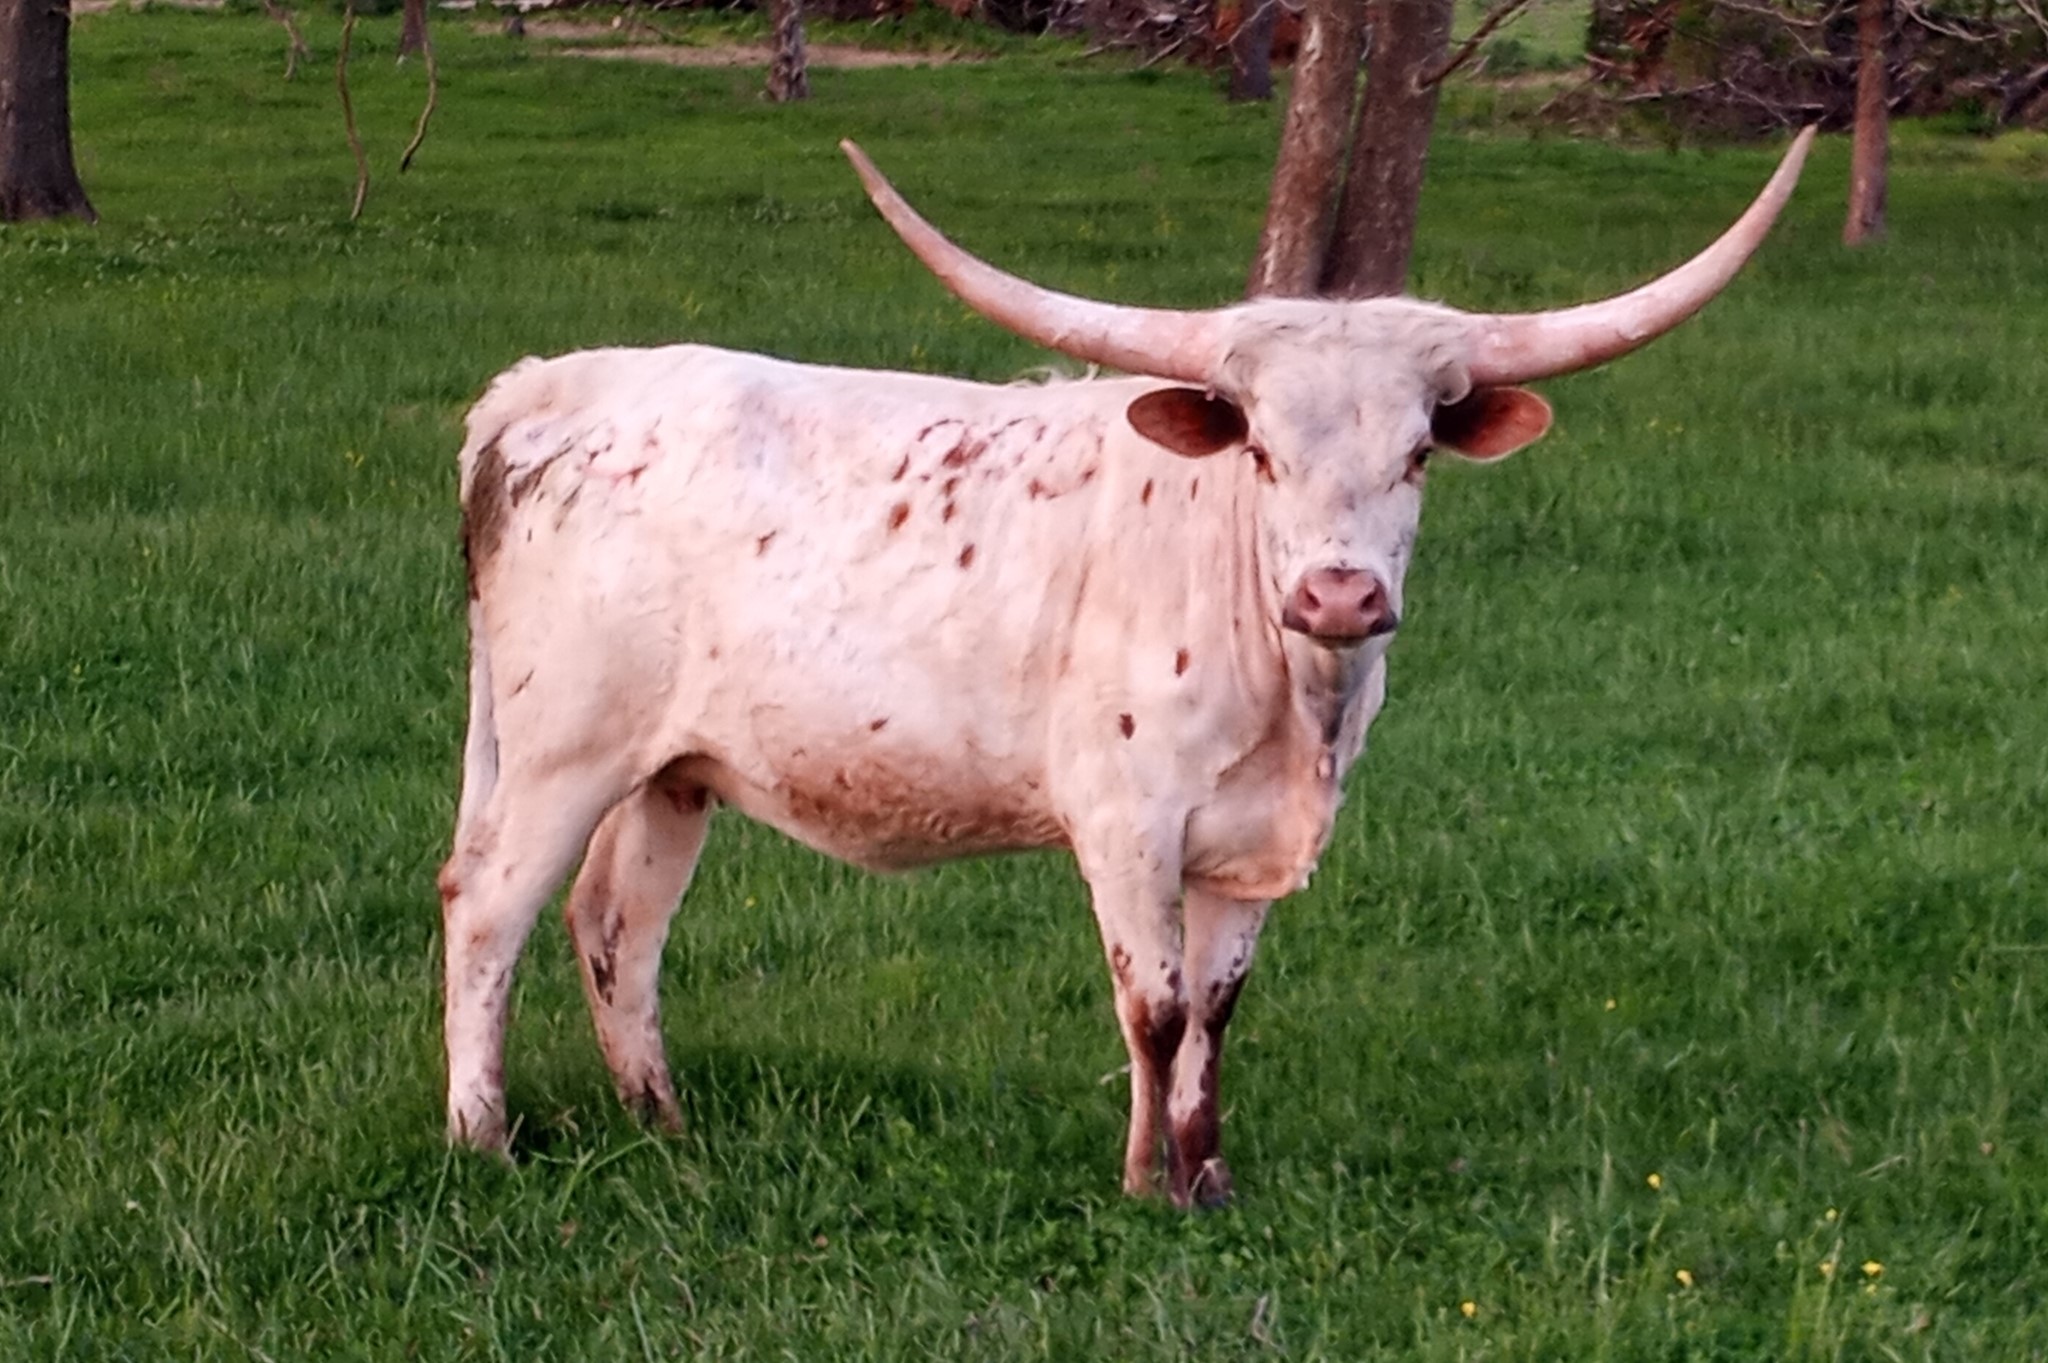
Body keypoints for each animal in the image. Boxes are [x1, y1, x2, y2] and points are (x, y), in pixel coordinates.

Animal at [439, 130, 1814, 1206]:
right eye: (1258, 448)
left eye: (1420, 450)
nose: (1339, 593)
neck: (1290, 703)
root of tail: (554, 384)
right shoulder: (1124, 823)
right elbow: (1150, 1007)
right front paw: (1146, 1183)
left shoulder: (1249, 849)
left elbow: (1214, 1007)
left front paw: (1208, 1178)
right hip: (562, 749)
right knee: (489, 904)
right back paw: (482, 1137)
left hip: (672, 768)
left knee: (616, 923)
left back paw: (662, 1126)